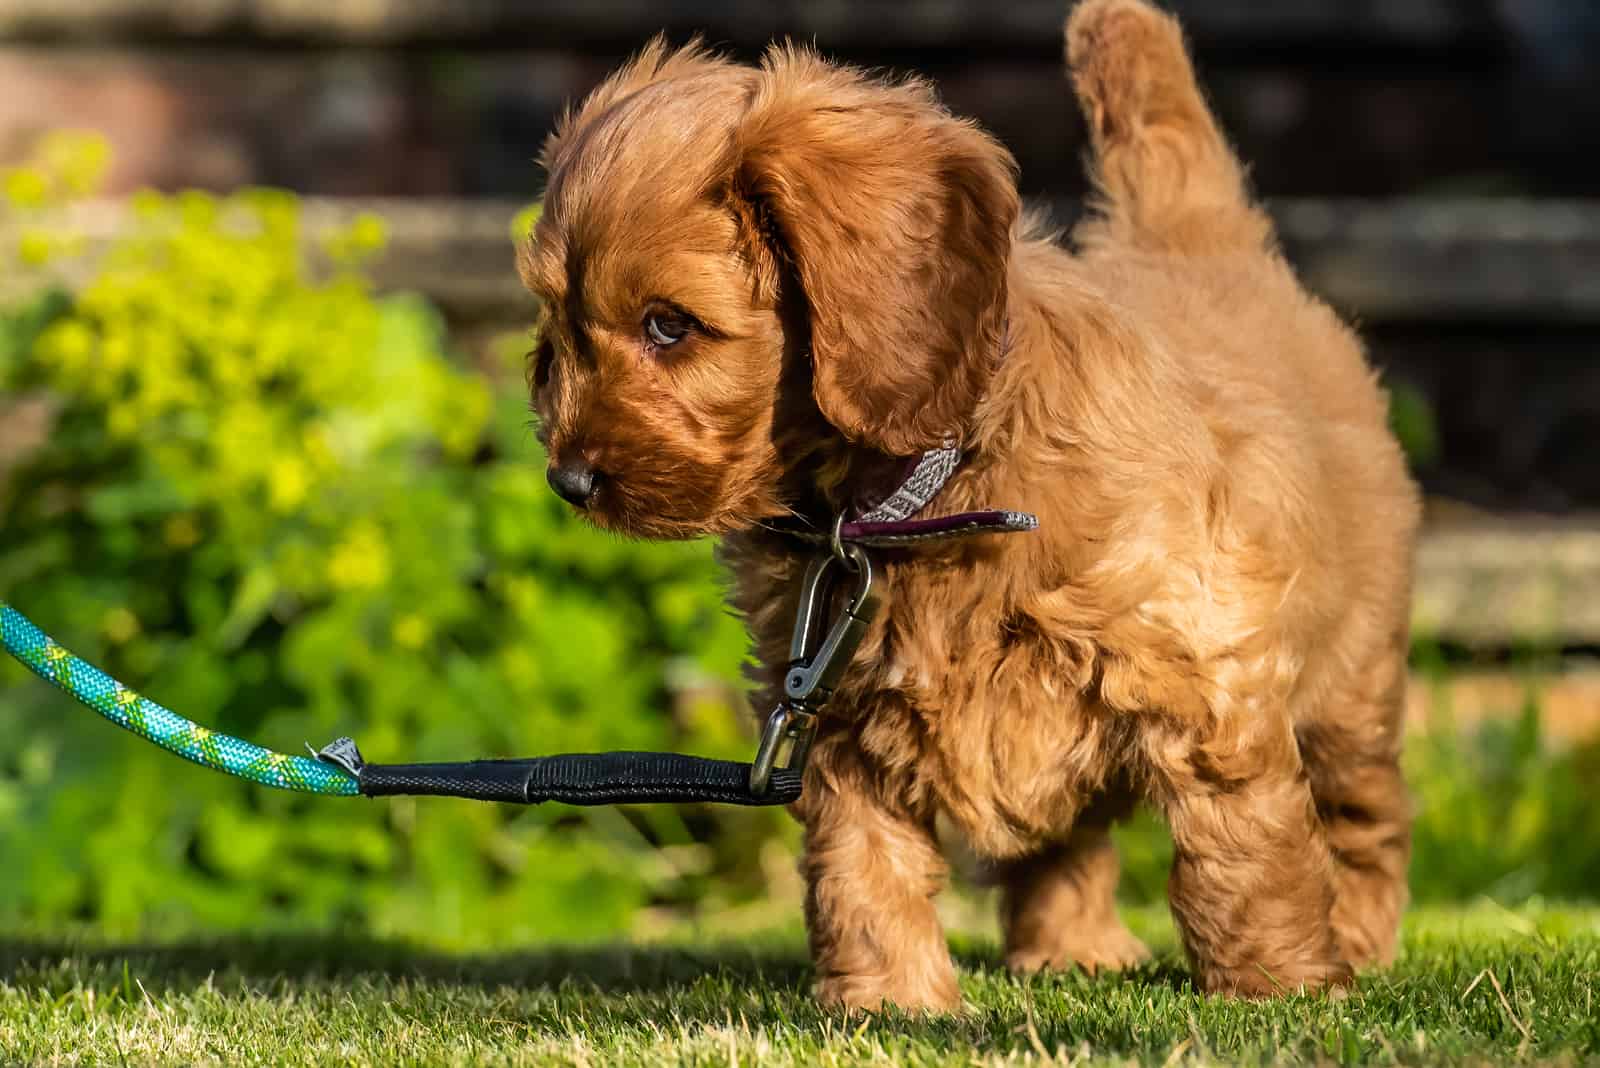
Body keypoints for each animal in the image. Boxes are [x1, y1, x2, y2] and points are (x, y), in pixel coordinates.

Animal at [518, 0, 1420, 1010]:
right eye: (555, 333)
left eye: (669, 326)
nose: (569, 481)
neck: (904, 505)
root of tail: (1193, 241)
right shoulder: (835, 717)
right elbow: (860, 866)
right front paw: (890, 1002)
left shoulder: (1204, 673)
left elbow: (1243, 852)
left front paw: (1280, 983)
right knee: (1066, 843)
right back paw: (1070, 950)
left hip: (1353, 679)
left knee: (1362, 817)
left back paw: (1357, 937)